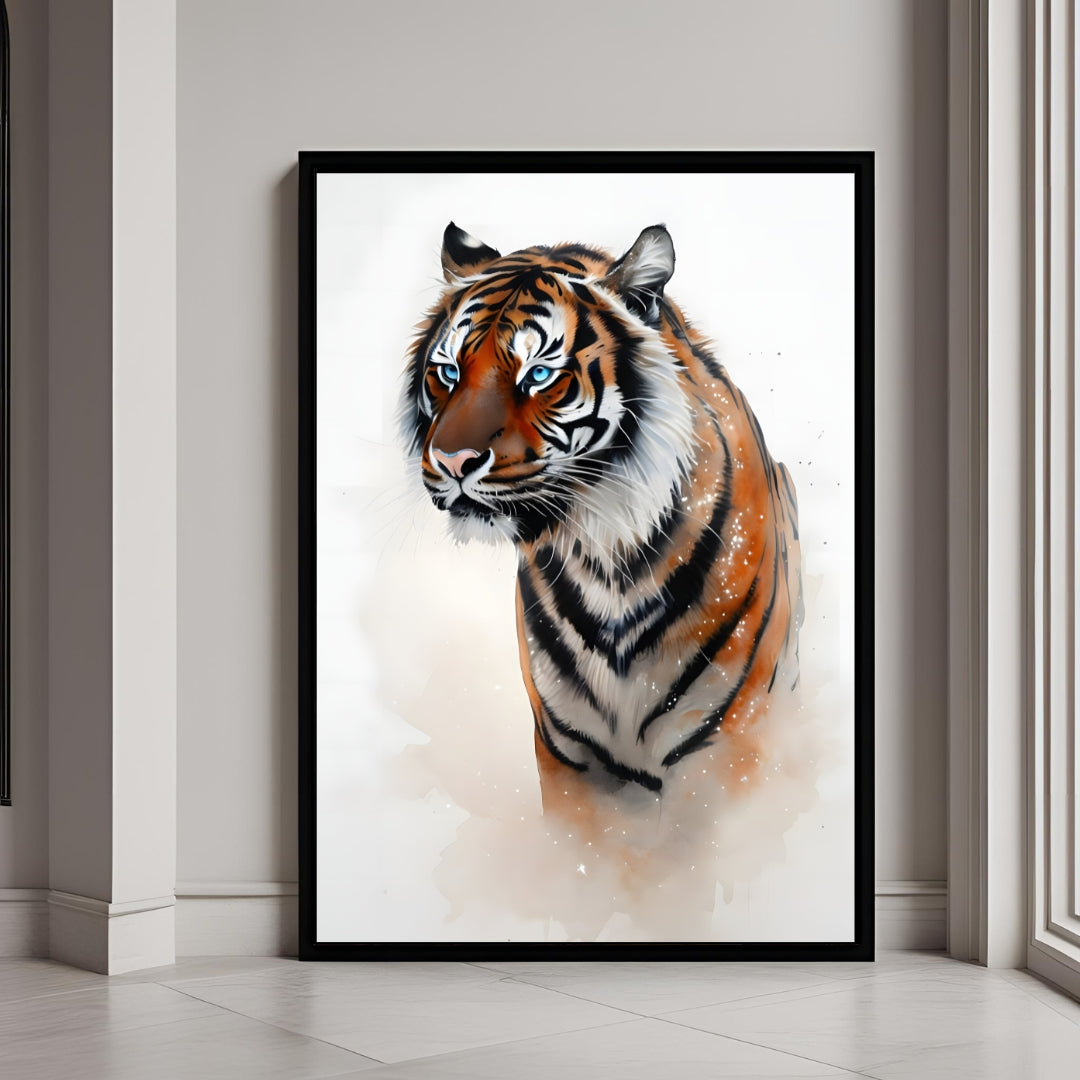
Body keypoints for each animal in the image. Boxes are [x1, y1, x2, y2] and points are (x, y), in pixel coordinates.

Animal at [400, 222, 803, 822]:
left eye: (539, 374)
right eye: (447, 372)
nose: (451, 462)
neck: (607, 551)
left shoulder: (729, 744)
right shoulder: (568, 754)